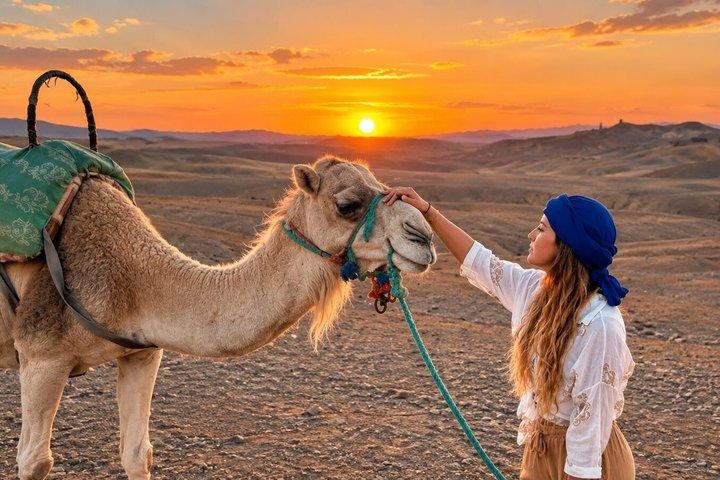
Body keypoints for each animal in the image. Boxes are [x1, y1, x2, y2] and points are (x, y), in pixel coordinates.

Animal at [0, 155, 436, 480]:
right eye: (347, 206)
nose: (425, 237)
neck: (132, 275)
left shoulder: (142, 352)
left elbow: (137, 454)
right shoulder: (42, 356)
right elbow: (34, 461)